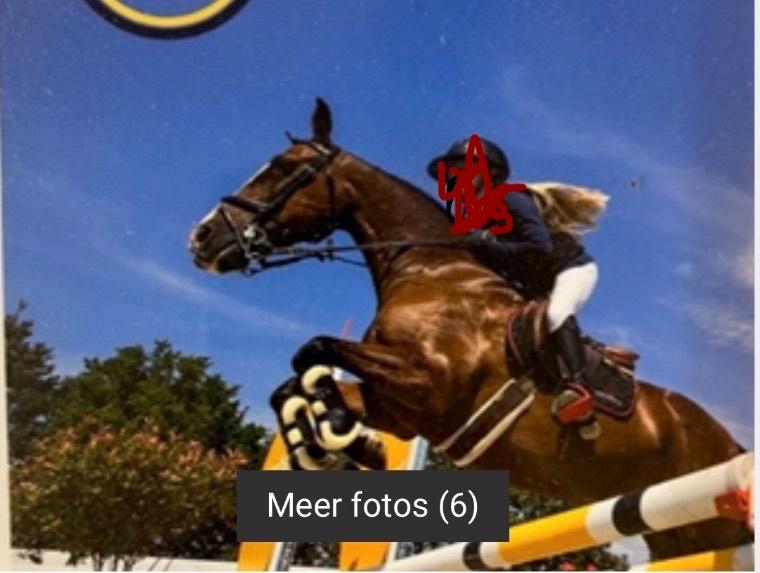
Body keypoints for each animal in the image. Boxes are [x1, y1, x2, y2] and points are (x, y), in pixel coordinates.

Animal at [189, 98, 749, 561]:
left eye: (285, 169)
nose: (202, 237)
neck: (429, 271)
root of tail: (732, 444)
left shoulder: (428, 383)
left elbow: (313, 349)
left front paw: (342, 437)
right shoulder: (399, 409)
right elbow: (293, 384)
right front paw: (338, 445)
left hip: (708, 520)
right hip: (674, 532)